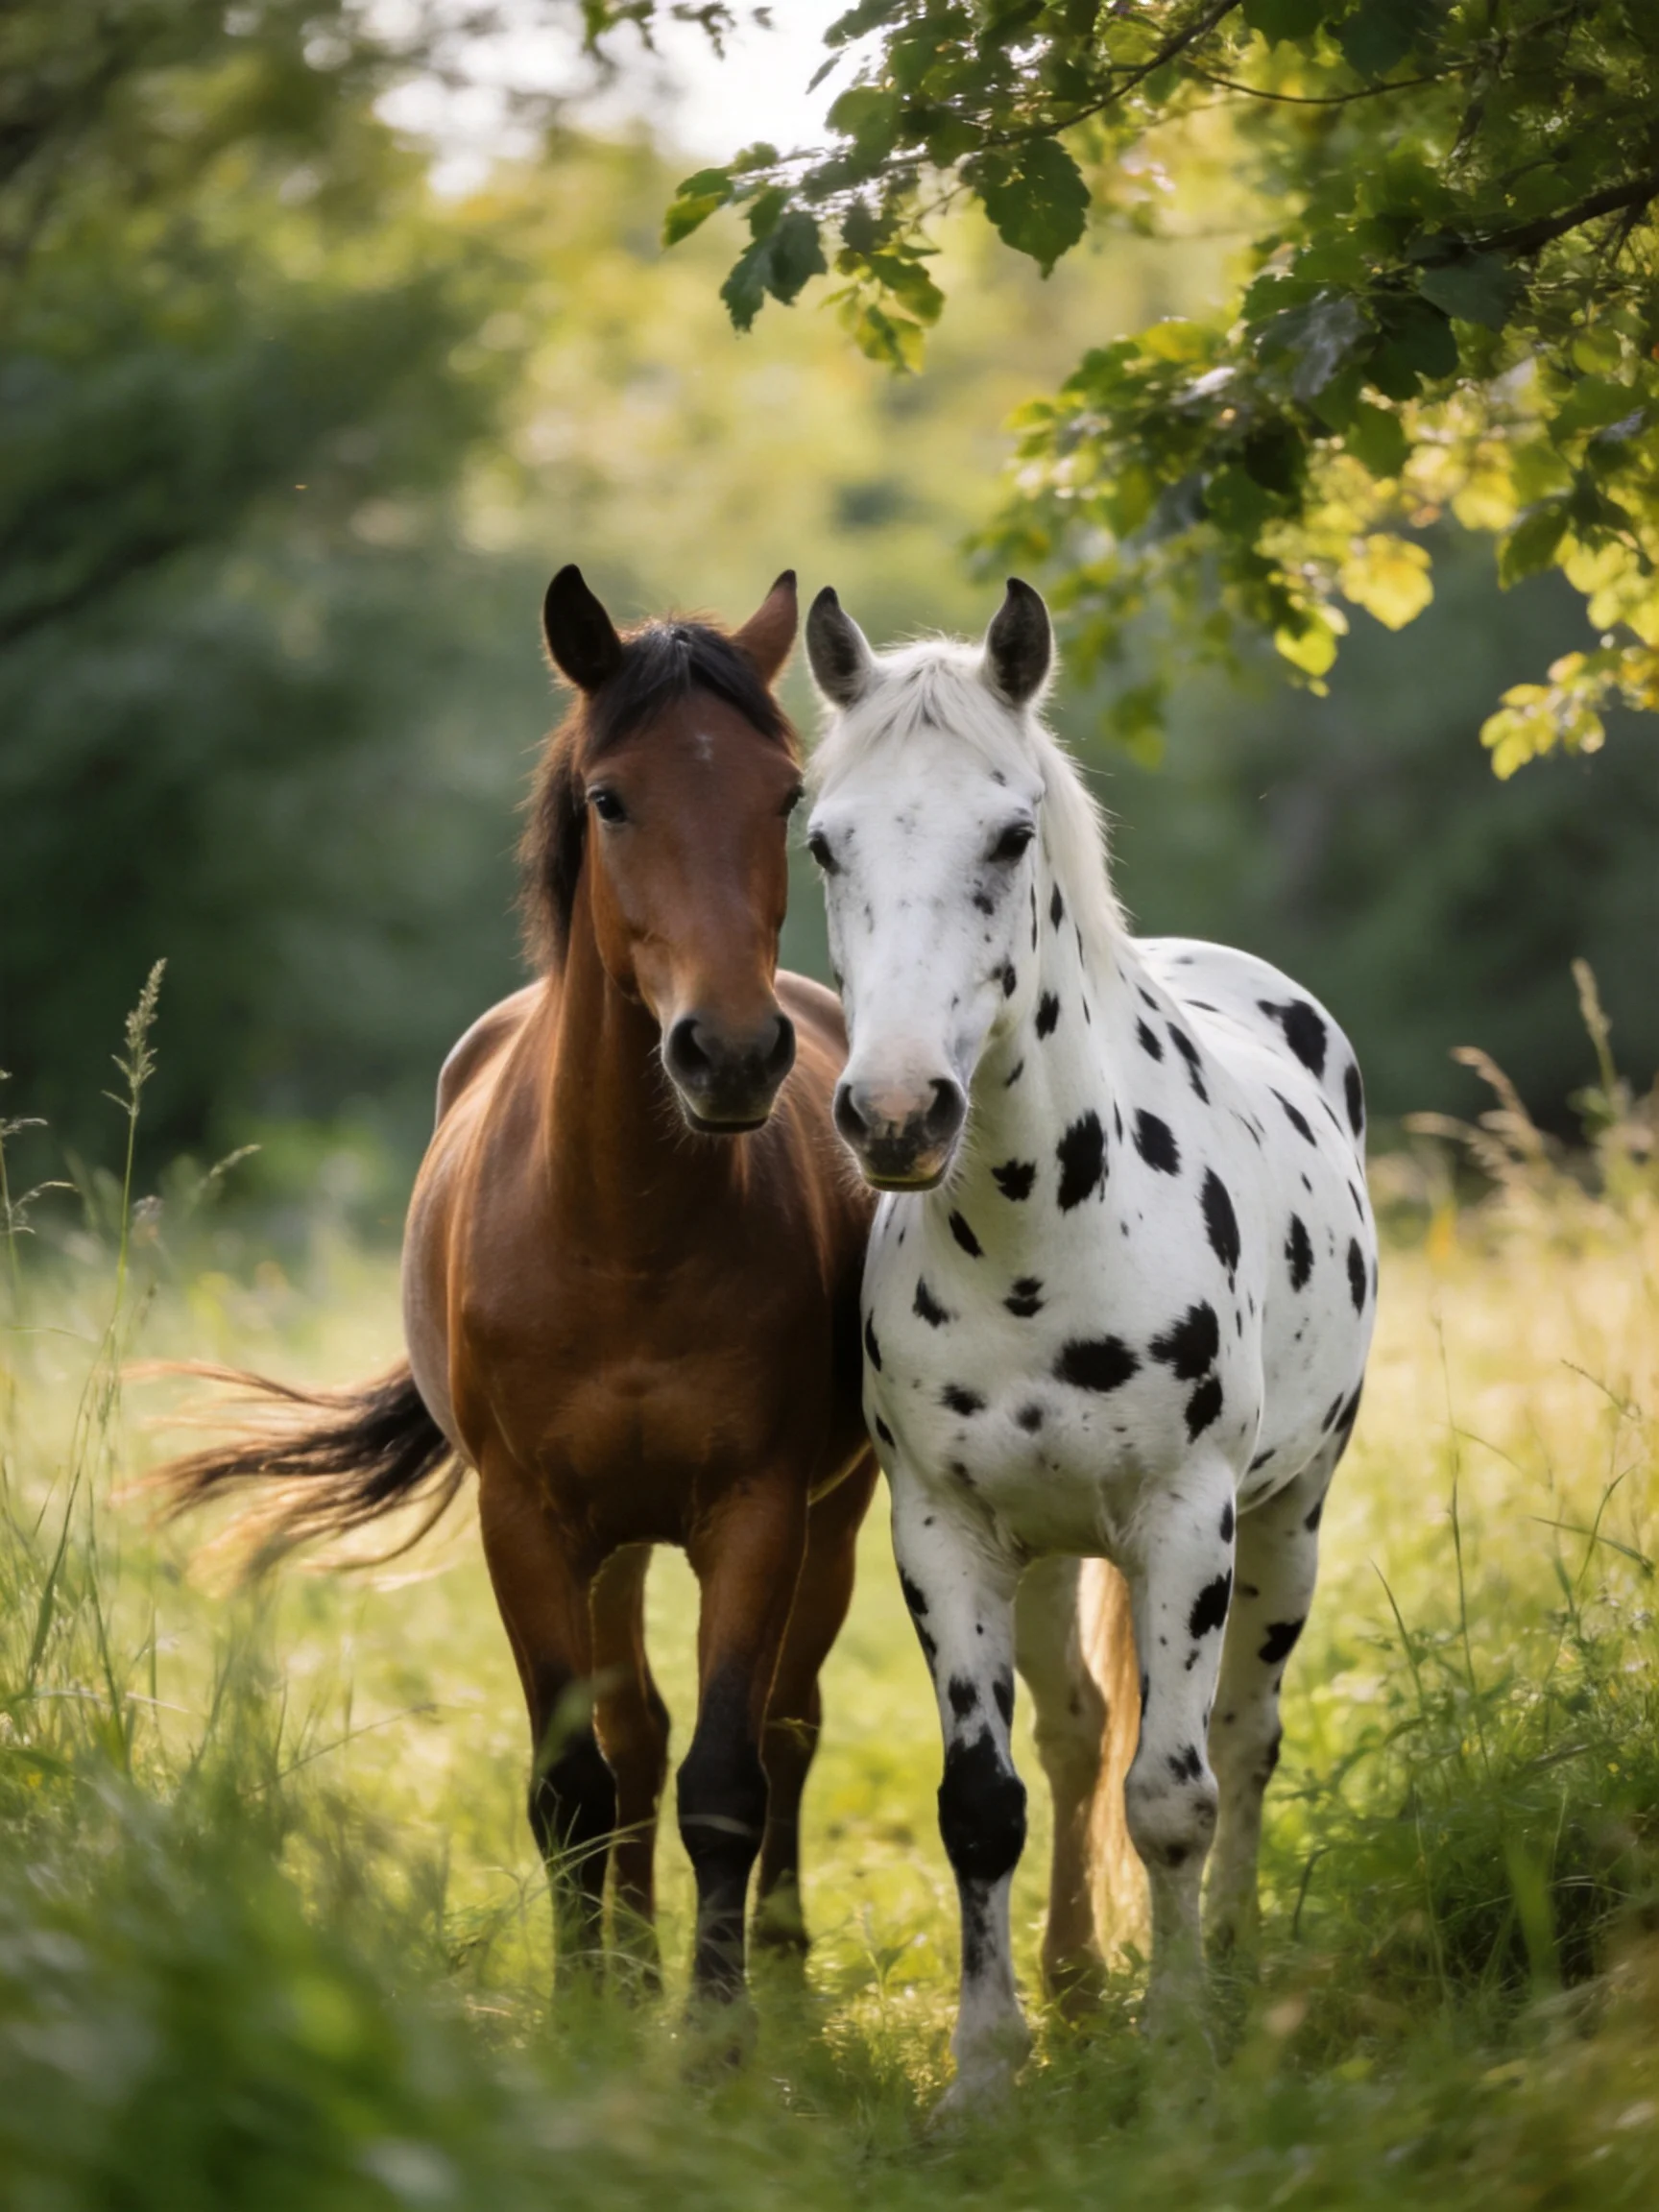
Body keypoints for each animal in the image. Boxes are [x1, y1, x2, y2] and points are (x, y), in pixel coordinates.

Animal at [157, 565, 878, 2014]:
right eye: (610, 798)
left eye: (785, 800)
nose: (730, 1053)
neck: (624, 1236)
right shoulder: (528, 1523)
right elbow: (573, 1784)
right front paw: (590, 2006)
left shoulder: (758, 1515)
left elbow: (730, 1777)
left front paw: (718, 2034)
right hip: (611, 1543)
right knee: (633, 1734)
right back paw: (637, 1965)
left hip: (829, 1520)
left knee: (784, 1729)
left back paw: (771, 1963)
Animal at [801, 578, 1376, 2106]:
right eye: (821, 839)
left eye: (1010, 835)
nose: (896, 1114)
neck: (1036, 1235)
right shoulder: (944, 1534)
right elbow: (985, 1804)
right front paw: (985, 2072)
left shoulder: (1188, 1523)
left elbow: (1171, 1795)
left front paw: (1180, 2053)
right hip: (1051, 1553)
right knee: (1070, 1737)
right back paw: (1070, 1977)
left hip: (1289, 1518)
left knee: (1240, 1738)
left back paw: (1227, 1956)